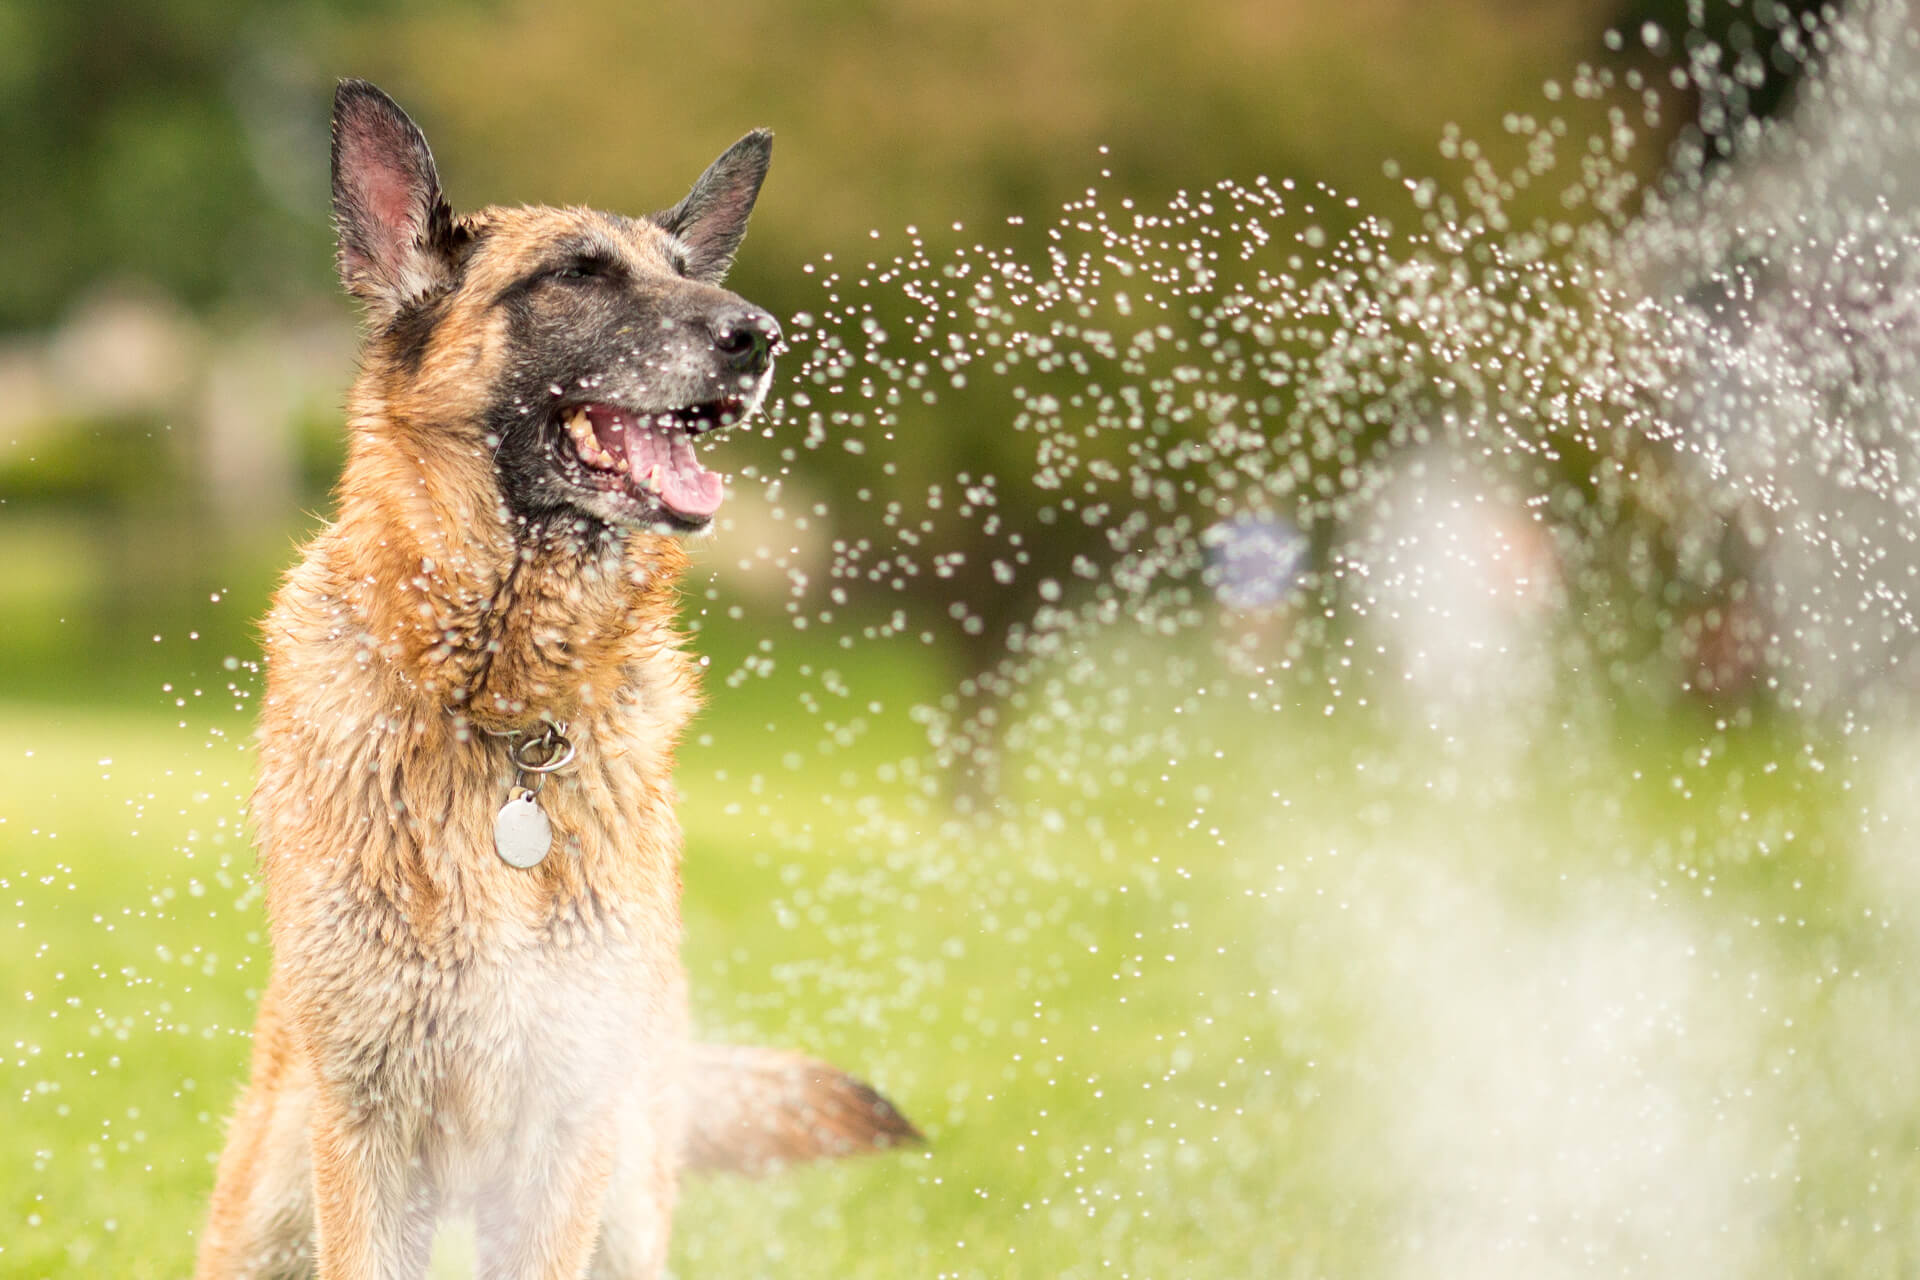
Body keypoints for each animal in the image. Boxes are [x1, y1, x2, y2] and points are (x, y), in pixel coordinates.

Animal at [198, 80, 917, 1280]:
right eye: (578, 273)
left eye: (686, 268)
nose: (759, 336)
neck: (501, 713)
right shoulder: (370, 1130)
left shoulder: (564, 1128)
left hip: (621, 1204)